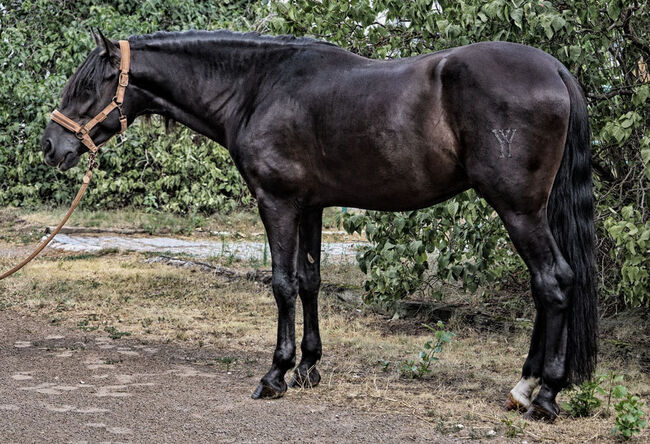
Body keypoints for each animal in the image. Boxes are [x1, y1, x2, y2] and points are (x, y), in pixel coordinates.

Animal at [41, 30, 596, 420]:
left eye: (88, 86)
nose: (51, 147)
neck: (258, 87)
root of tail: (554, 68)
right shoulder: (310, 207)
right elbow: (310, 282)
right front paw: (308, 366)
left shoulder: (278, 203)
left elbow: (283, 284)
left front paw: (275, 373)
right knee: (547, 285)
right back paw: (525, 387)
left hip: (517, 209)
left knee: (553, 282)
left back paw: (545, 394)